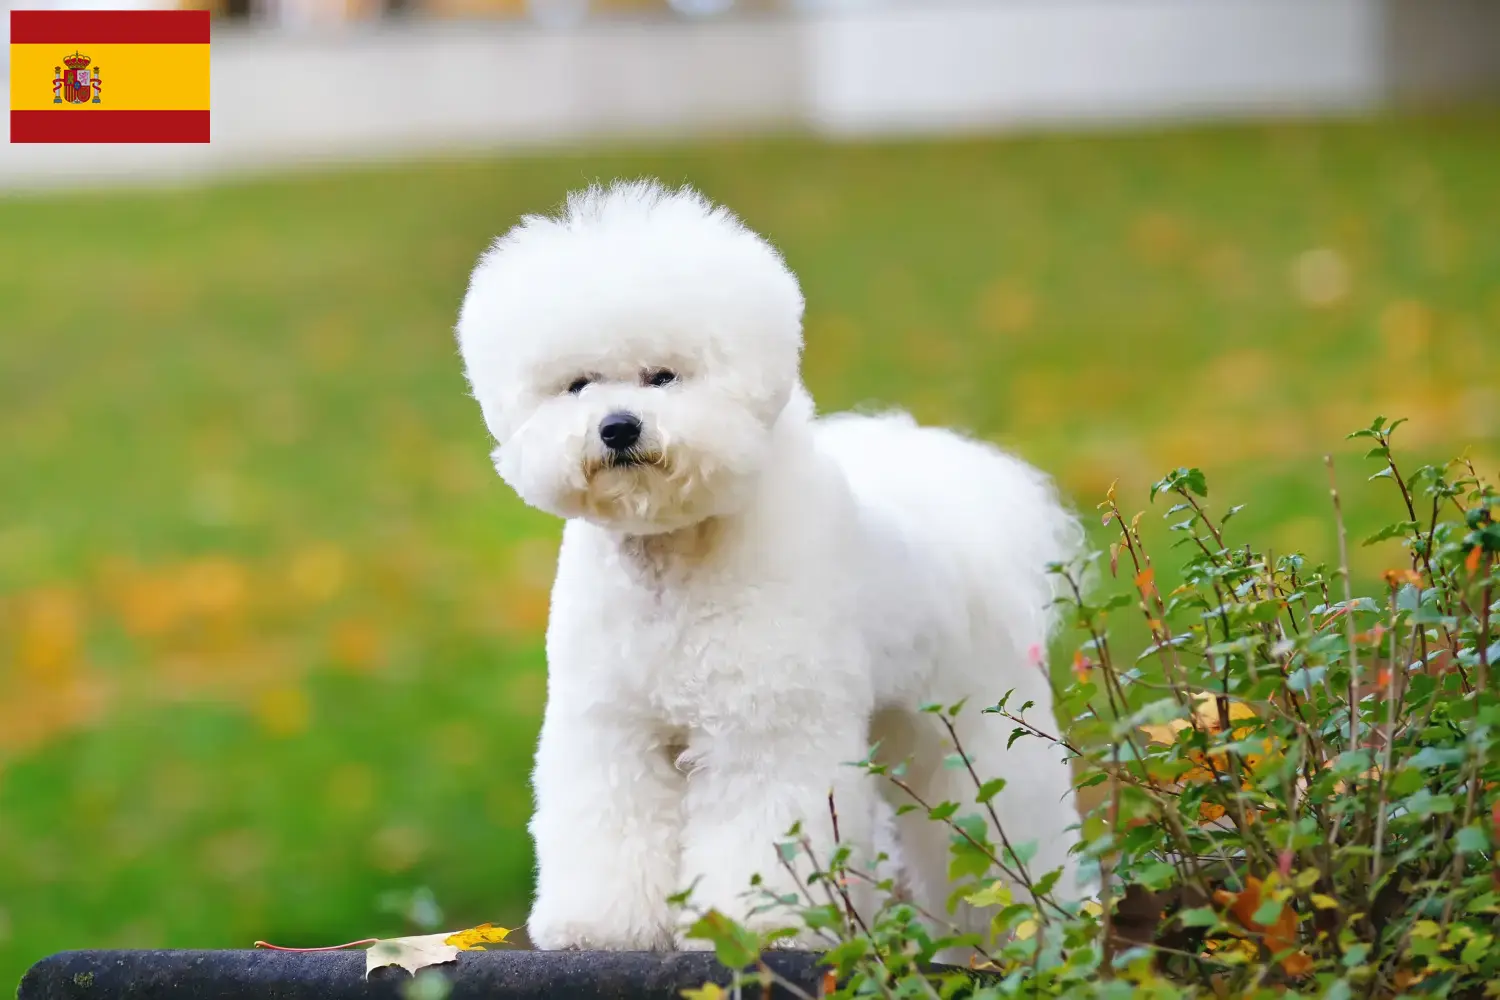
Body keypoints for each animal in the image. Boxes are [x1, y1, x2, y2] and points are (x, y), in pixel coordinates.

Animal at [450, 179, 1086, 953]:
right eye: (578, 385)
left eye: (664, 376)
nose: (618, 427)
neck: (676, 558)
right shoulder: (612, 727)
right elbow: (609, 819)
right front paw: (600, 925)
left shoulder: (767, 728)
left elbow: (764, 829)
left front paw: (761, 927)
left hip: (979, 724)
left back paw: (1024, 925)